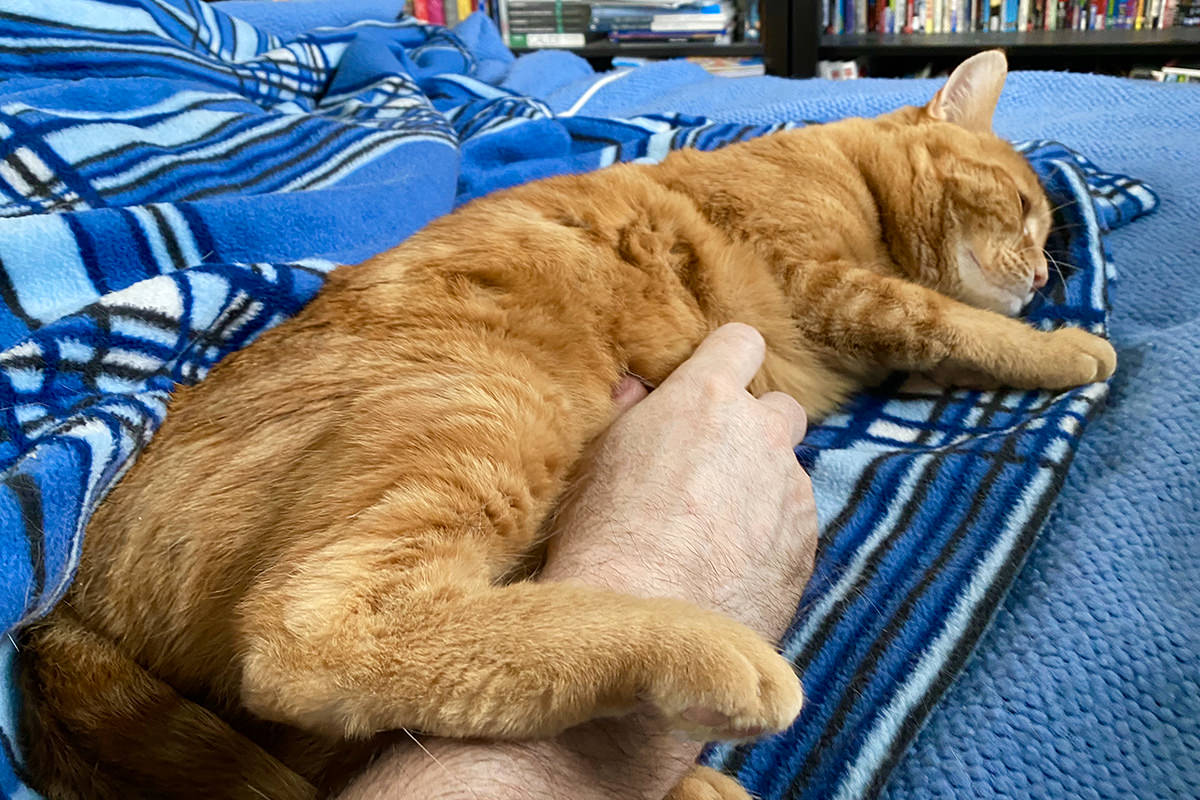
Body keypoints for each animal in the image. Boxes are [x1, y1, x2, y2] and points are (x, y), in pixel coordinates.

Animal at [16, 51, 1113, 800]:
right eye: (1024, 207)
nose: (1042, 273)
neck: (843, 173)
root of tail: (67, 603)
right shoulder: (834, 285)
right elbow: (951, 319)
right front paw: (1070, 348)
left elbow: (945, 337)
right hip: (484, 411)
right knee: (309, 637)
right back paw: (701, 662)